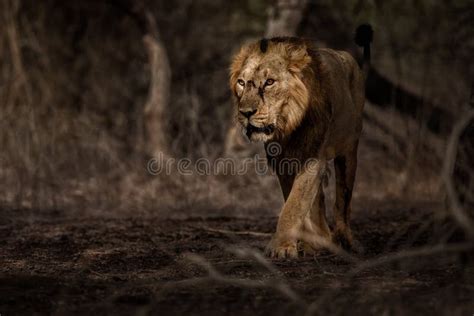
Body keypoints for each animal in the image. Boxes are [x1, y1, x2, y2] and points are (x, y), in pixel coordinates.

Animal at [230, 24, 374, 256]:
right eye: (241, 83)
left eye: (269, 82)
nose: (246, 113)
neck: (289, 126)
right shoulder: (284, 163)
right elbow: (297, 203)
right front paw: (305, 243)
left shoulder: (313, 157)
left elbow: (293, 205)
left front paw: (281, 247)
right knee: (320, 201)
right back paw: (321, 239)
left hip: (348, 151)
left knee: (343, 200)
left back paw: (345, 240)